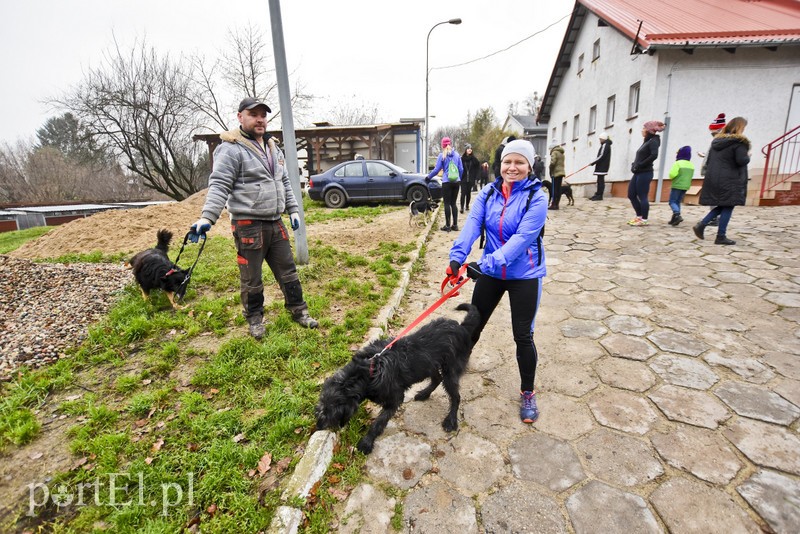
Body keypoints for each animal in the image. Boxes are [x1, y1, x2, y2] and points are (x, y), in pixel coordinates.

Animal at [316, 304, 482, 454]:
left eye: (329, 414)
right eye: (320, 407)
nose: (317, 426)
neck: (369, 369)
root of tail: (461, 328)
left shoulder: (394, 399)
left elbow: (378, 422)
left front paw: (366, 443)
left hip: (451, 371)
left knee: (455, 396)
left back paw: (451, 420)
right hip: (430, 365)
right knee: (437, 378)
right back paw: (424, 394)